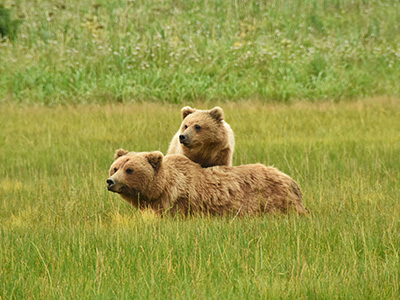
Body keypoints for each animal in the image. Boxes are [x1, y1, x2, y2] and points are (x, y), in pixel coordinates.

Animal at [106, 149, 306, 216]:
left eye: (129, 170)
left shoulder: (182, 204)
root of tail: (291, 180)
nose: (110, 181)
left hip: (273, 201)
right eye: (115, 168)